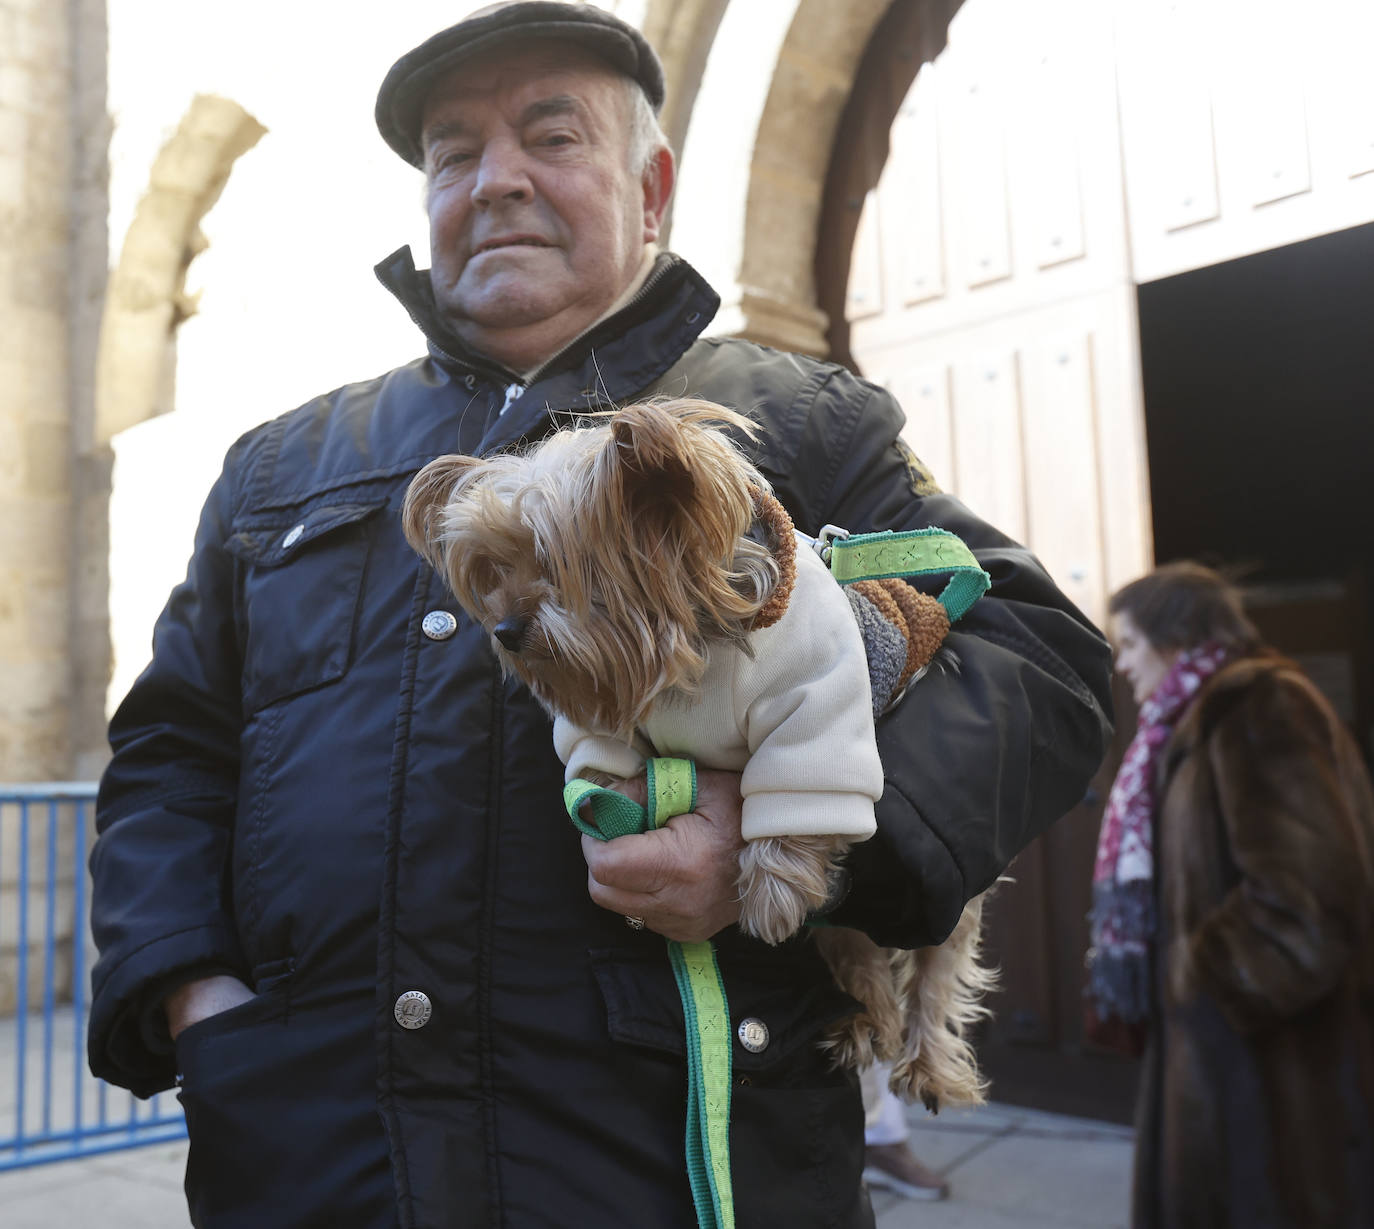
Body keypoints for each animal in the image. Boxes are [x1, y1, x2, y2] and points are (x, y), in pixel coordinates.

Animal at [401, 398, 994, 1110]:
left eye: (557, 562)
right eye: (497, 566)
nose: (506, 630)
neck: (692, 649)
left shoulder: (816, 694)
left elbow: (799, 784)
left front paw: (771, 894)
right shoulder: (612, 723)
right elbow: (600, 762)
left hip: (933, 902)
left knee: (936, 960)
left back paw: (927, 1063)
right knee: (855, 948)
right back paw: (861, 1023)